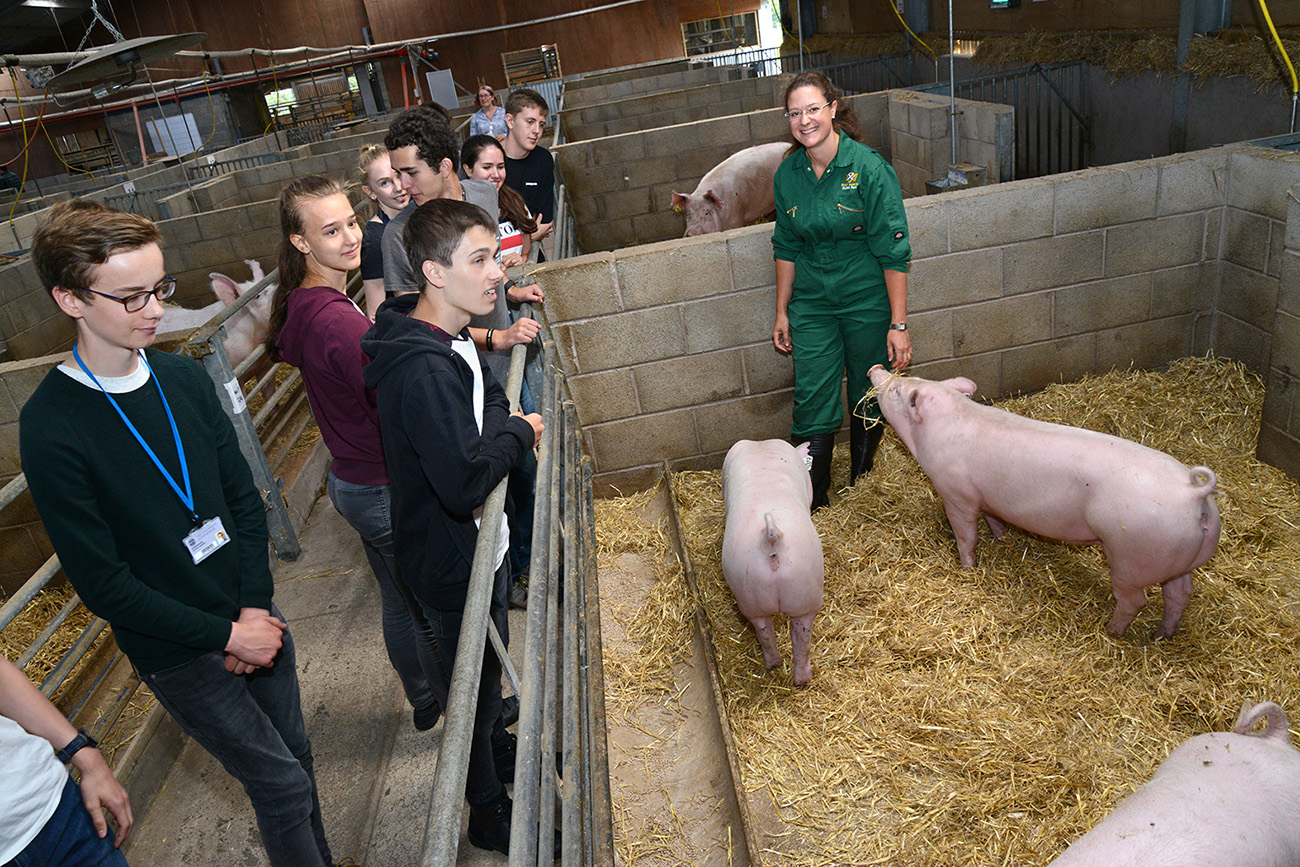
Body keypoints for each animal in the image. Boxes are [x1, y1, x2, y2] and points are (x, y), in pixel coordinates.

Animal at [722, 441, 821, 686]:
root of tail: (771, 536)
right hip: (809, 590)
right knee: (802, 636)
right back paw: (803, 678)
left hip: (750, 590)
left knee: (765, 631)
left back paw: (778, 667)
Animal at [863, 363, 1216, 642]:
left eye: (896, 389)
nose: (876, 367)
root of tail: (1192, 491)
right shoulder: (988, 499)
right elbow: (995, 520)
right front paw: (1001, 538)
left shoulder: (956, 493)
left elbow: (966, 536)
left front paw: (966, 568)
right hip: (1178, 558)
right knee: (1180, 593)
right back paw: (1161, 636)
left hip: (1132, 556)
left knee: (1135, 601)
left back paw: (1111, 631)